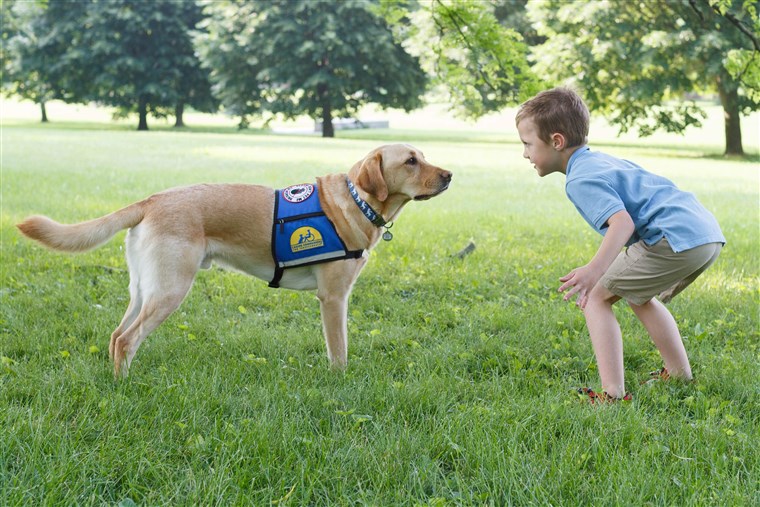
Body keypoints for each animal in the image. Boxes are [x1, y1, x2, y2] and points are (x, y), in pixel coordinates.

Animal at [16, 145, 452, 376]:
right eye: (410, 160)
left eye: (423, 156)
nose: (449, 175)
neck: (358, 201)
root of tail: (152, 199)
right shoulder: (332, 298)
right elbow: (338, 350)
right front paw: (340, 381)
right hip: (171, 289)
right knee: (127, 339)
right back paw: (125, 385)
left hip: (145, 289)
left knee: (115, 335)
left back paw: (115, 378)